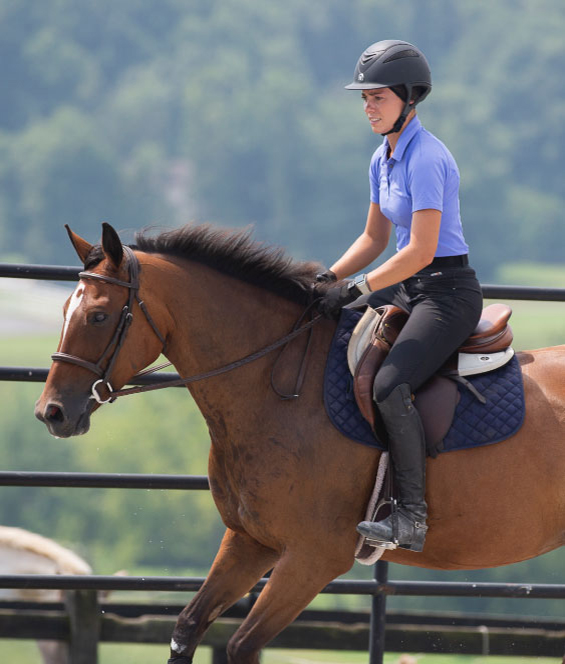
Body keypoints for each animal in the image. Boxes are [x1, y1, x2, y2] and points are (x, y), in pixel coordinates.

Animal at [36, 223, 564, 664]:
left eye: (99, 316)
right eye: (64, 311)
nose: (51, 412)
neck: (278, 383)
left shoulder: (313, 558)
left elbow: (241, 647)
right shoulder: (250, 541)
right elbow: (187, 627)